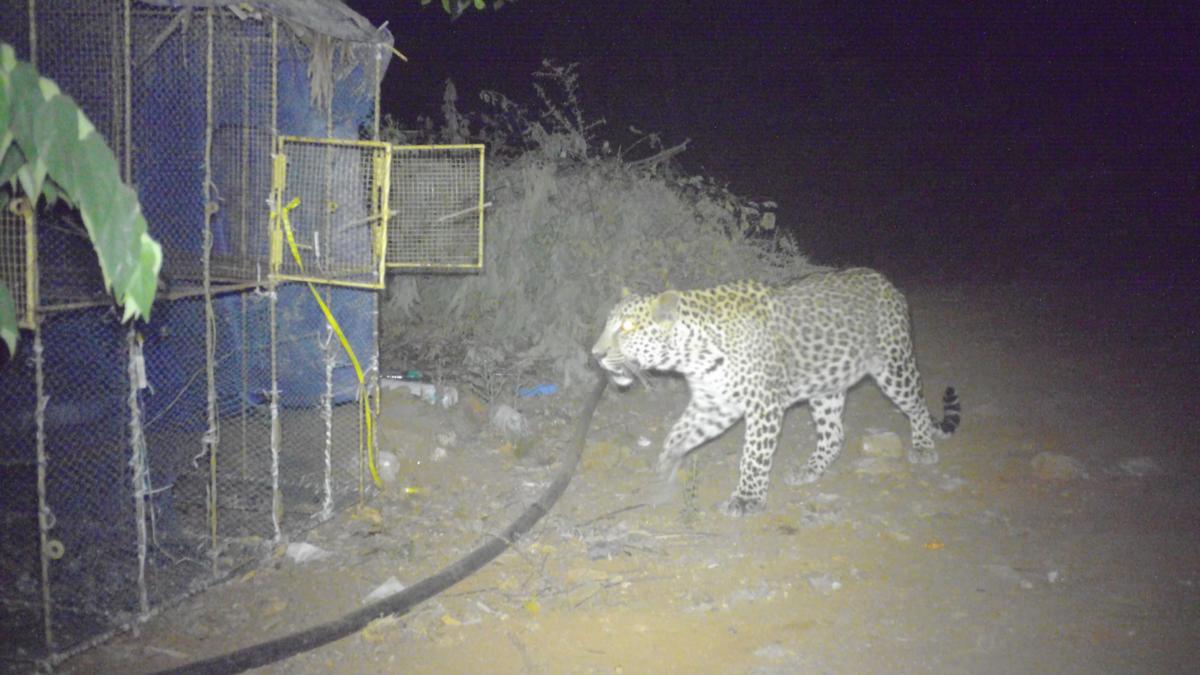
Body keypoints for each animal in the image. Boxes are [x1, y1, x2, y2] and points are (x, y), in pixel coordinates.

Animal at [591, 267, 961, 517]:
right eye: (607, 325)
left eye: (626, 328)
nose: (596, 354)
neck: (692, 354)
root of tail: (887, 283)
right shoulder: (714, 403)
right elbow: (678, 434)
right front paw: (663, 471)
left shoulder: (763, 404)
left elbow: (754, 454)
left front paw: (747, 498)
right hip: (826, 385)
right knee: (834, 434)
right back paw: (809, 470)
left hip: (893, 366)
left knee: (917, 404)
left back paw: (923, 447)